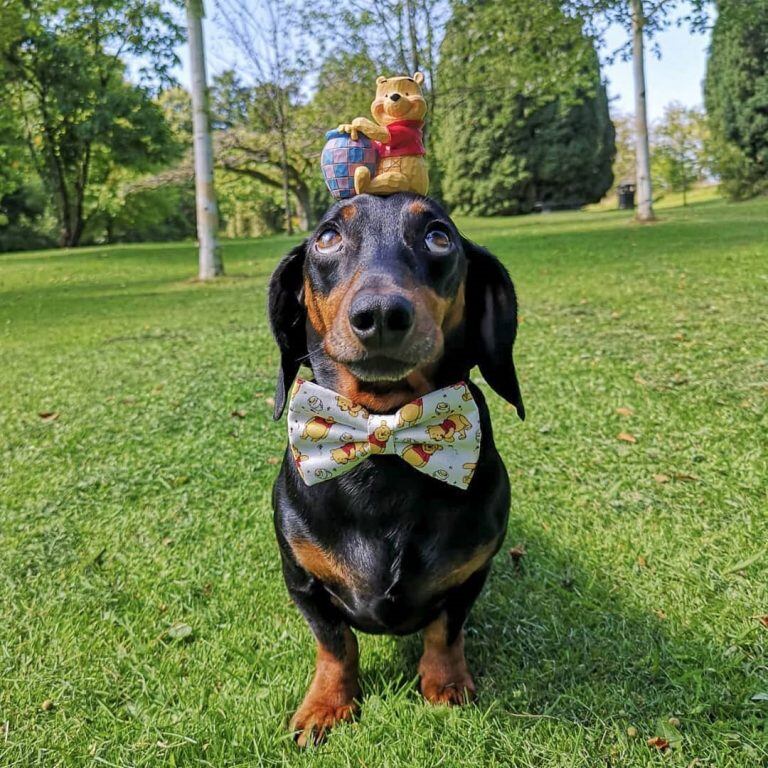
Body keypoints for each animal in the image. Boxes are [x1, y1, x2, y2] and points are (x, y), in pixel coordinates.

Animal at [268, 194, 524, 752]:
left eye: (439, 237)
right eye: (327, 237)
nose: (381, 314)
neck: (384, 436)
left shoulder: (472, 573)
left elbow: (446, 631)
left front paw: (445, 683)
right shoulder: (303, 582)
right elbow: (336, 644)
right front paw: (326, 705)